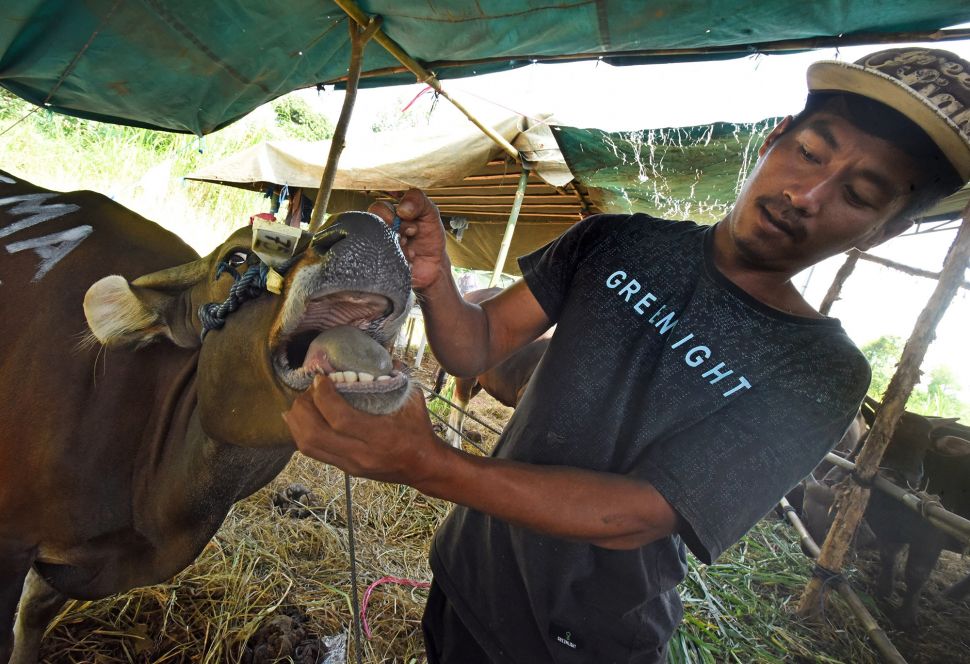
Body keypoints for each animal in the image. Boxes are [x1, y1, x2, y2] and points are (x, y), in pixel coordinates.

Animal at [800, 400, 968, 628]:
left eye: (924, 448)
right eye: (886, 439)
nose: (911, 477)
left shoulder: (932, 535)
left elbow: (916, 573)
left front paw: (906, 617)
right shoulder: (891, 531)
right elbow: (888, 555)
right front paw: (884, 589)